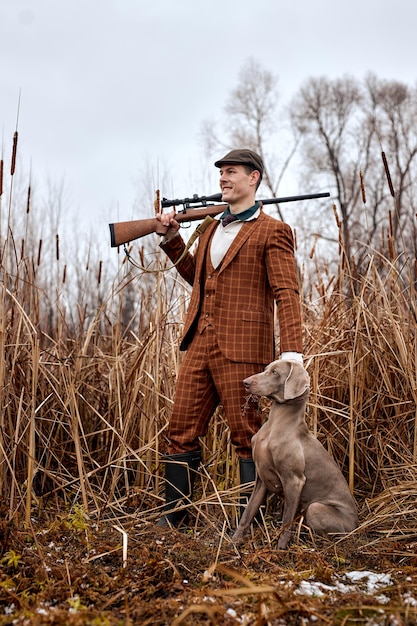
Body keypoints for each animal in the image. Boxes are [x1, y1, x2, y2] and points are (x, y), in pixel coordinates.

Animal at [231, 360, 358, 544]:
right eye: (266, 369)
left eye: (275, 372)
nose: (245, 382)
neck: (275, 424)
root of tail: (357, 524)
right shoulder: (261, 478)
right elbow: (248, 513)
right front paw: (234, 541)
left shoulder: (294, 481)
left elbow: (286, 521)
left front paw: (280, 547)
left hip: (315, 508)